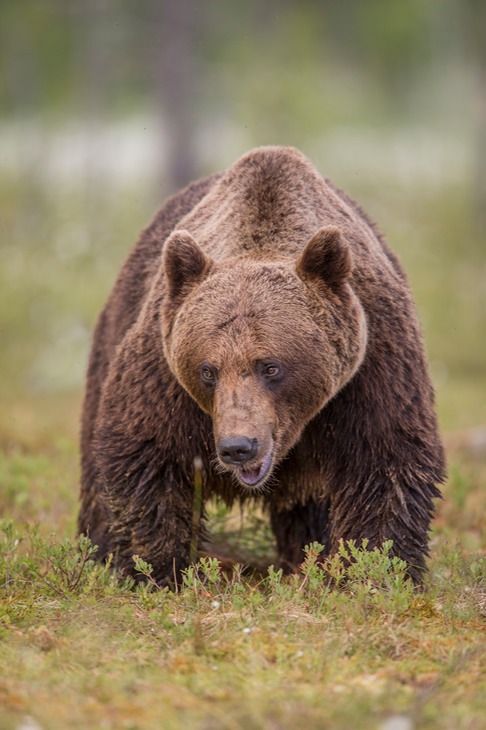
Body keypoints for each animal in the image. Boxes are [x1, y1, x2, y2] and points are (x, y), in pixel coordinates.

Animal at [79, 145, 444, 584]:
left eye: (271, 366)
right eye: (207, 370)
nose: (238, 447)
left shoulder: (373, 364)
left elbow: (384, 459)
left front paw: (374, 569)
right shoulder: (163, 375)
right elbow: (146, 455)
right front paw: (159, 568)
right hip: (113, 333)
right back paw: (95, 550)